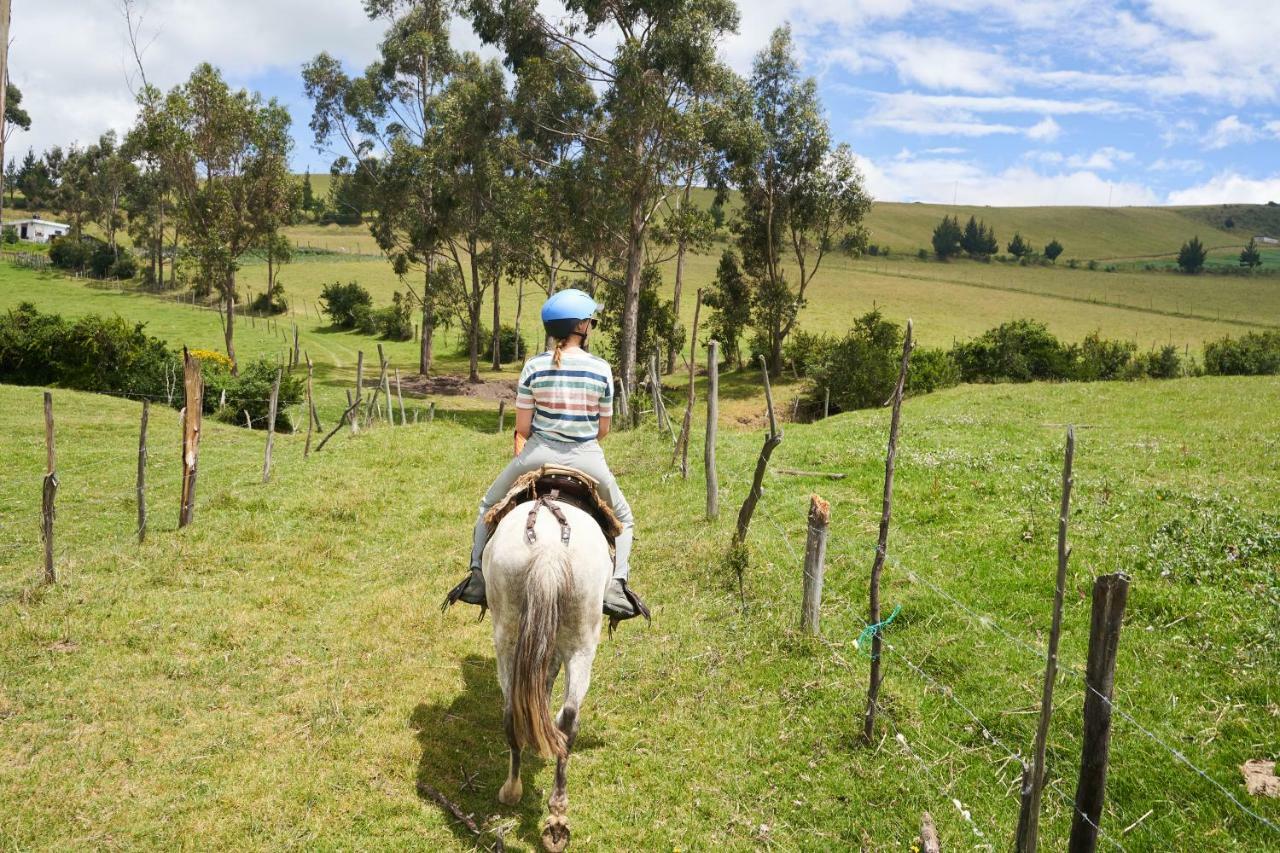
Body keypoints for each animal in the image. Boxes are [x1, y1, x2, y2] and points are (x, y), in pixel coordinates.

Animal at [483, 494, 614, 845]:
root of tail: (549, 552)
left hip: (513, 640)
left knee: (520, 712)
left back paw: (532, 802)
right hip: (581, 644)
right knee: (566, 715)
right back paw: (541, 806)